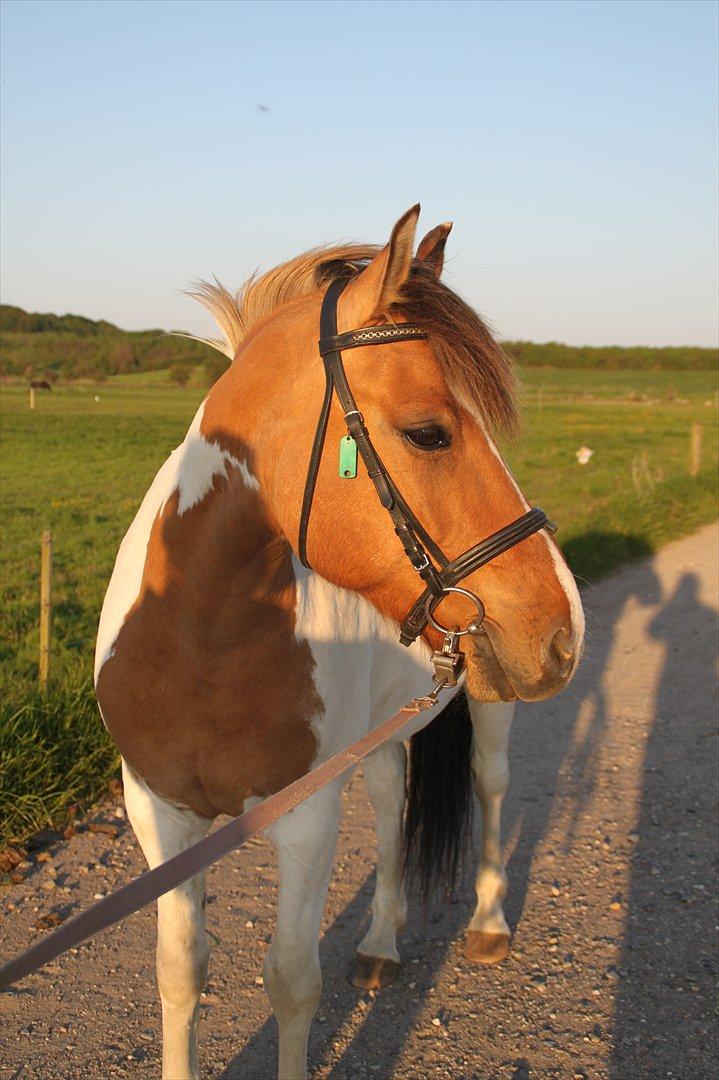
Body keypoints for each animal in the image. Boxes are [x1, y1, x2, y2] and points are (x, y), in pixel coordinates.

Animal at [93, 204, 582, 1080]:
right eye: (428, 433)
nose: (564, 627)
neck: (197, 644)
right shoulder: (159, 811)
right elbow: (180, 971)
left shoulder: (304, 818)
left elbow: (291, 981)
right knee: (390, 800)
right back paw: (382, 942)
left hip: (491, 704)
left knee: (490, 785)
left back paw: (489, 926)